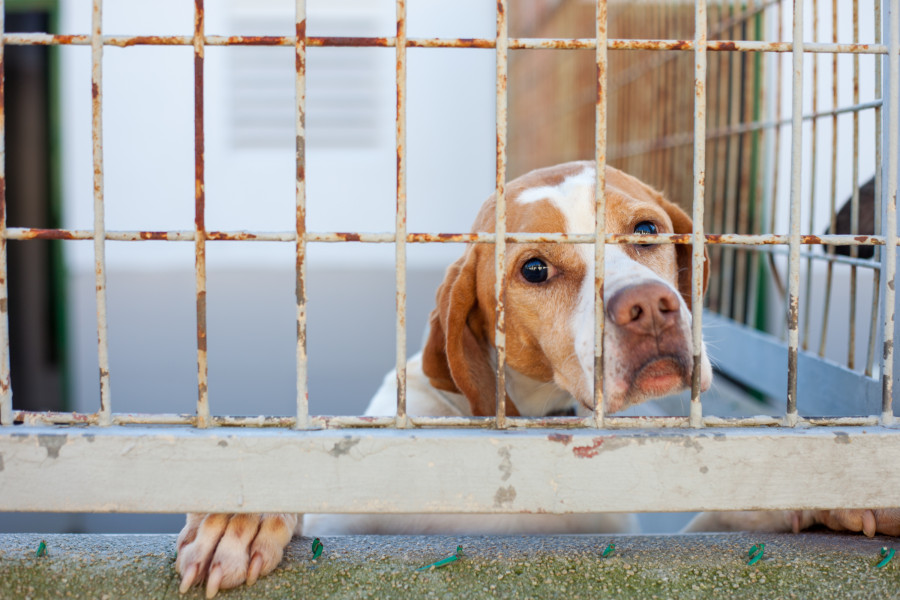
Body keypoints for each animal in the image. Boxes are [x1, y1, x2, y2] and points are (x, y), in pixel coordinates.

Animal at [176, 162, 900, 596]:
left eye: (646, 229)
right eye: (533, 269)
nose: (650, 307)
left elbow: (734, 516)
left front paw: (835, 498)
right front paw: (244, 512)